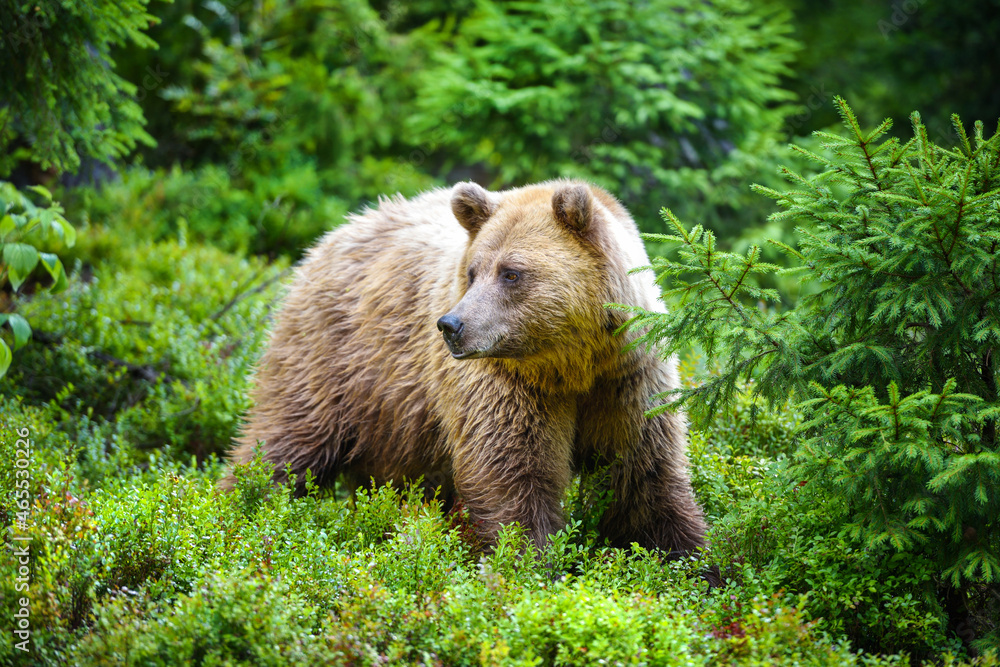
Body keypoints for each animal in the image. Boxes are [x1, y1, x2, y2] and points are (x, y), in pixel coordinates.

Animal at [222, 180, 707, 555]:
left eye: (511, 273)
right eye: (473, 272)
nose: (451, 325)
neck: (573, 364)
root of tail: (331, 236)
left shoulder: (629, 381)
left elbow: (644, 480)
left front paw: (694, 562)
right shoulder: (506, 383)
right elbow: (514, 474)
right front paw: (525, 563)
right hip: (335, 360)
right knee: (285, 441)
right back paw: (239, 503)